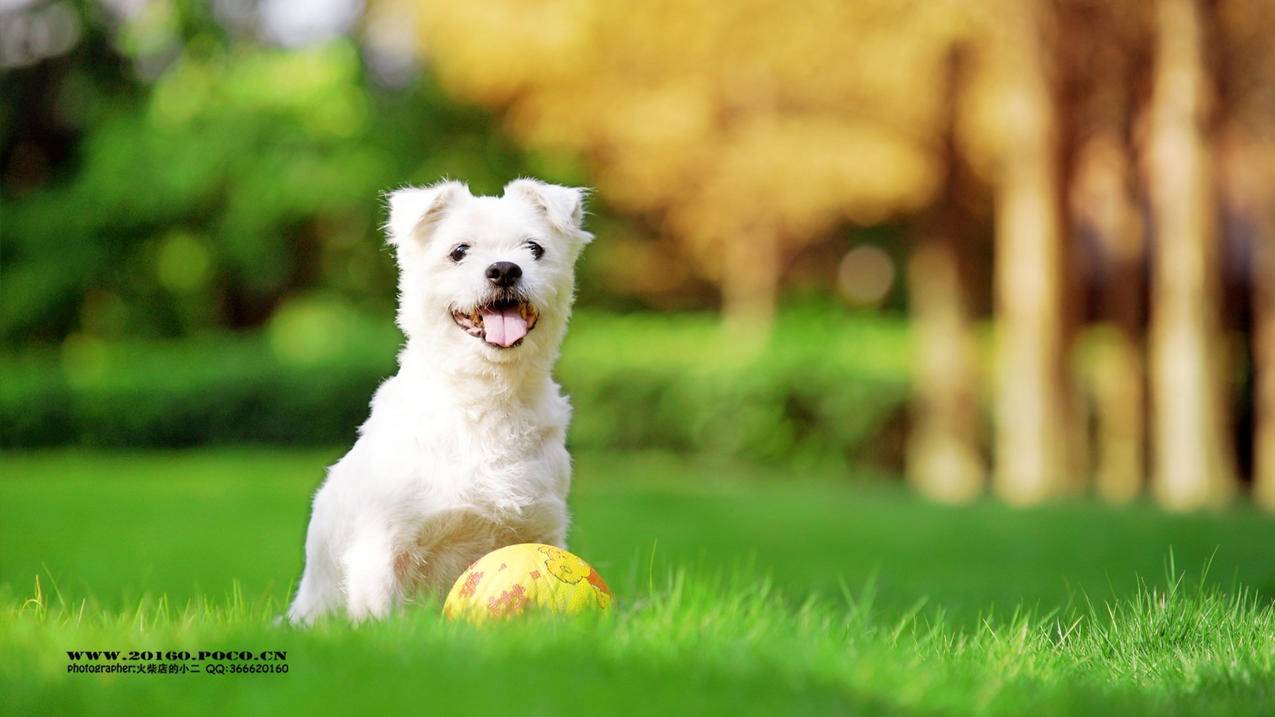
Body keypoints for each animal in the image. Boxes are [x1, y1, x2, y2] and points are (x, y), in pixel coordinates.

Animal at [289, 177, 591, 620]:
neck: (484, 399)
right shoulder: (383, 547)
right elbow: (382, 614)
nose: (504, 269)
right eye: (459, 251)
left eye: (534, 248)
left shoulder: (540, 528)